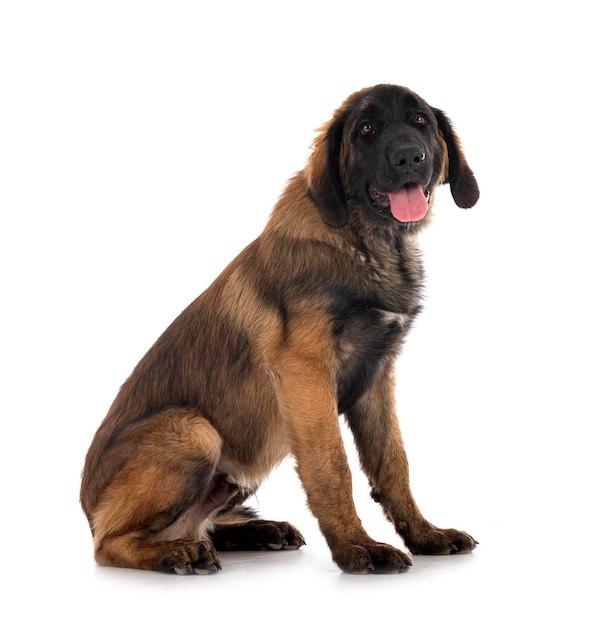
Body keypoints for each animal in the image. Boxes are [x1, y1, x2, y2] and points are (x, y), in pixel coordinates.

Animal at [81, 84, 480, 576]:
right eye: (367, 129)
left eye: (420, 121)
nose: (409, 156)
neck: (367, 243)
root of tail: (85, 508)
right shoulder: (305, 374)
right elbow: (332, 466)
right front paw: (357, 547)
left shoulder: (377, 377)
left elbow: (393, 463)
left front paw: (425, 535)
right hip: (195, 430)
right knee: (110, 544)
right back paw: (177, 553)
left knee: (198, 524)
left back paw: (254, 531)